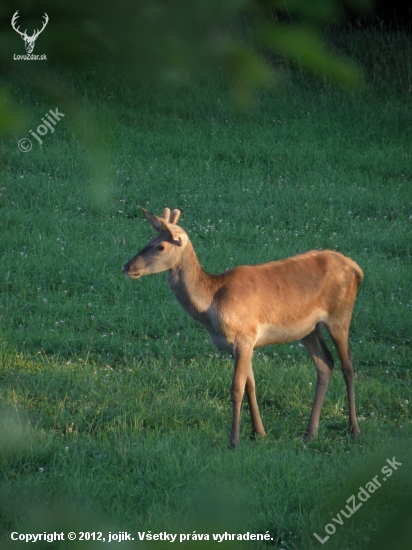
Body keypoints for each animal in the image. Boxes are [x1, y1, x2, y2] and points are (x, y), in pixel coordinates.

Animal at [123, 207, 364, 448]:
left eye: (160, 246)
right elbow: (250, 384)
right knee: (325, 364)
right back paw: (309, 433)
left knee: (348, 365)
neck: (212, 305)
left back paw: (353, 430)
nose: (126, 267)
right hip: (310, 329)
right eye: (149, 240)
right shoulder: (238, 343)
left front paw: (235, 440)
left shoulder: (245, 336)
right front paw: (259, 432)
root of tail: (357, 269)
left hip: (340, 315)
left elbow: (236, 387)